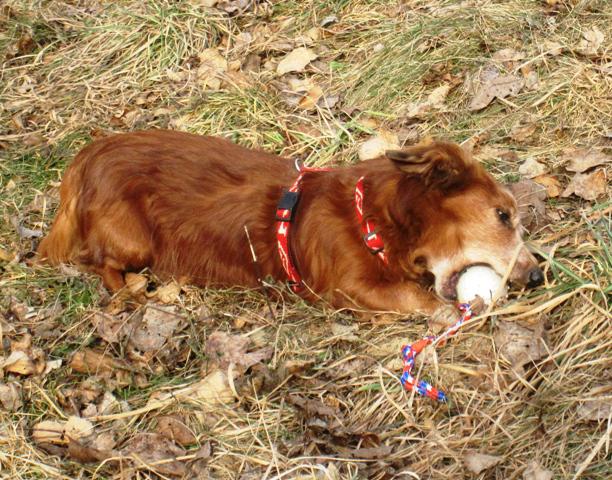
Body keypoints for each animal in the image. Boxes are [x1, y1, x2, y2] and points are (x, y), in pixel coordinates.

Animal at [38, 130, 544, 316]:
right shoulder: (350, 286)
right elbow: (422, 299)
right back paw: (129, 291)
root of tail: (85, 161)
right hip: (133, 241)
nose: (538, 275)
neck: (371, 216)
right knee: (95, 260)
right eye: (502, 215)